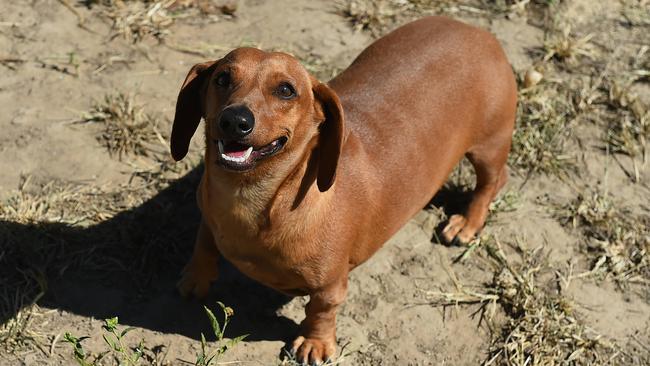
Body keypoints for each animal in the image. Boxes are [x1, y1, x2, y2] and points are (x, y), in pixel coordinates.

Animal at [170, 16, 512, 364]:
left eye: (286, 90)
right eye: (222, 78)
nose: (235, 120)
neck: (250, 199)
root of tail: (476, 31)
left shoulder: (330, 285)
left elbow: (320, 310)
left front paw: (315, 343)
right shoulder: (209, 218)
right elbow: (204, 244)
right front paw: (195, 278)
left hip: (489, 146)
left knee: (491, 183)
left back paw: (466, 224)